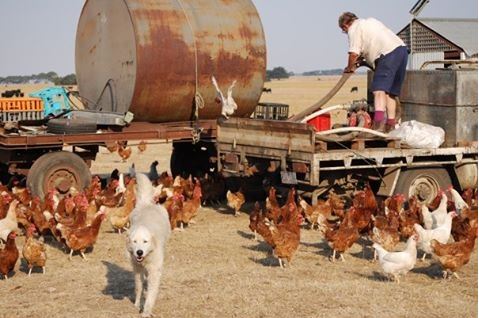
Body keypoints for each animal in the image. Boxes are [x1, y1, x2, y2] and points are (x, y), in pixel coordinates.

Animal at [126, 174, 172, 318]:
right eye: (134, 241)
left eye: (145, 241)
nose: (139, 252)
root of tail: (147, 203)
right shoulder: (137, 269)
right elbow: (138, 287)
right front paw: (137, 304)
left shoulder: (154, 271)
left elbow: (151, 294)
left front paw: (146, 310)